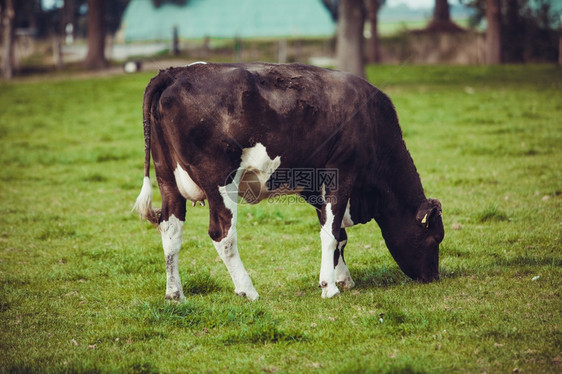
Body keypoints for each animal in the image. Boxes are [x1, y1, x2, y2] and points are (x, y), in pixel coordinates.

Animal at [133, 61, 444, 300]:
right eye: (434, 237)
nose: (433, 277)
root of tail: (174, 72)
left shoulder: (315, 184)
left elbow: (337, 233)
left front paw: (342, 278)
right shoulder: (342, 171)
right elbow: (332, 232)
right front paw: (329, 287)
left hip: (167, 180)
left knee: (170, 230)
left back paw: (175, 294)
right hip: (220, 181)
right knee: (222, 234)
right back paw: (247, 290)